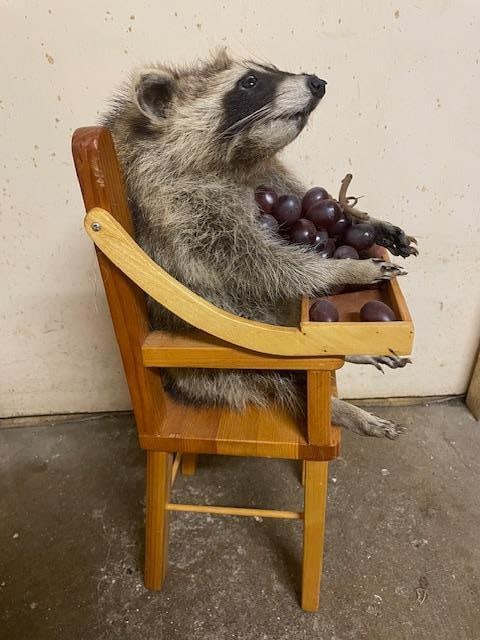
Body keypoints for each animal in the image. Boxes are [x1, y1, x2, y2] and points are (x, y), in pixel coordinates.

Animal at [103, 50, 413, 439]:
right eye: (249, 82)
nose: (317, 82)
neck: (238, 161)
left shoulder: (268, 175)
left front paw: (364, 221)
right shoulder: (177, 205)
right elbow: (260, 263)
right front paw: (342, 268)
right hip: (218, 355)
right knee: (278, 371)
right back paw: (340, 409)